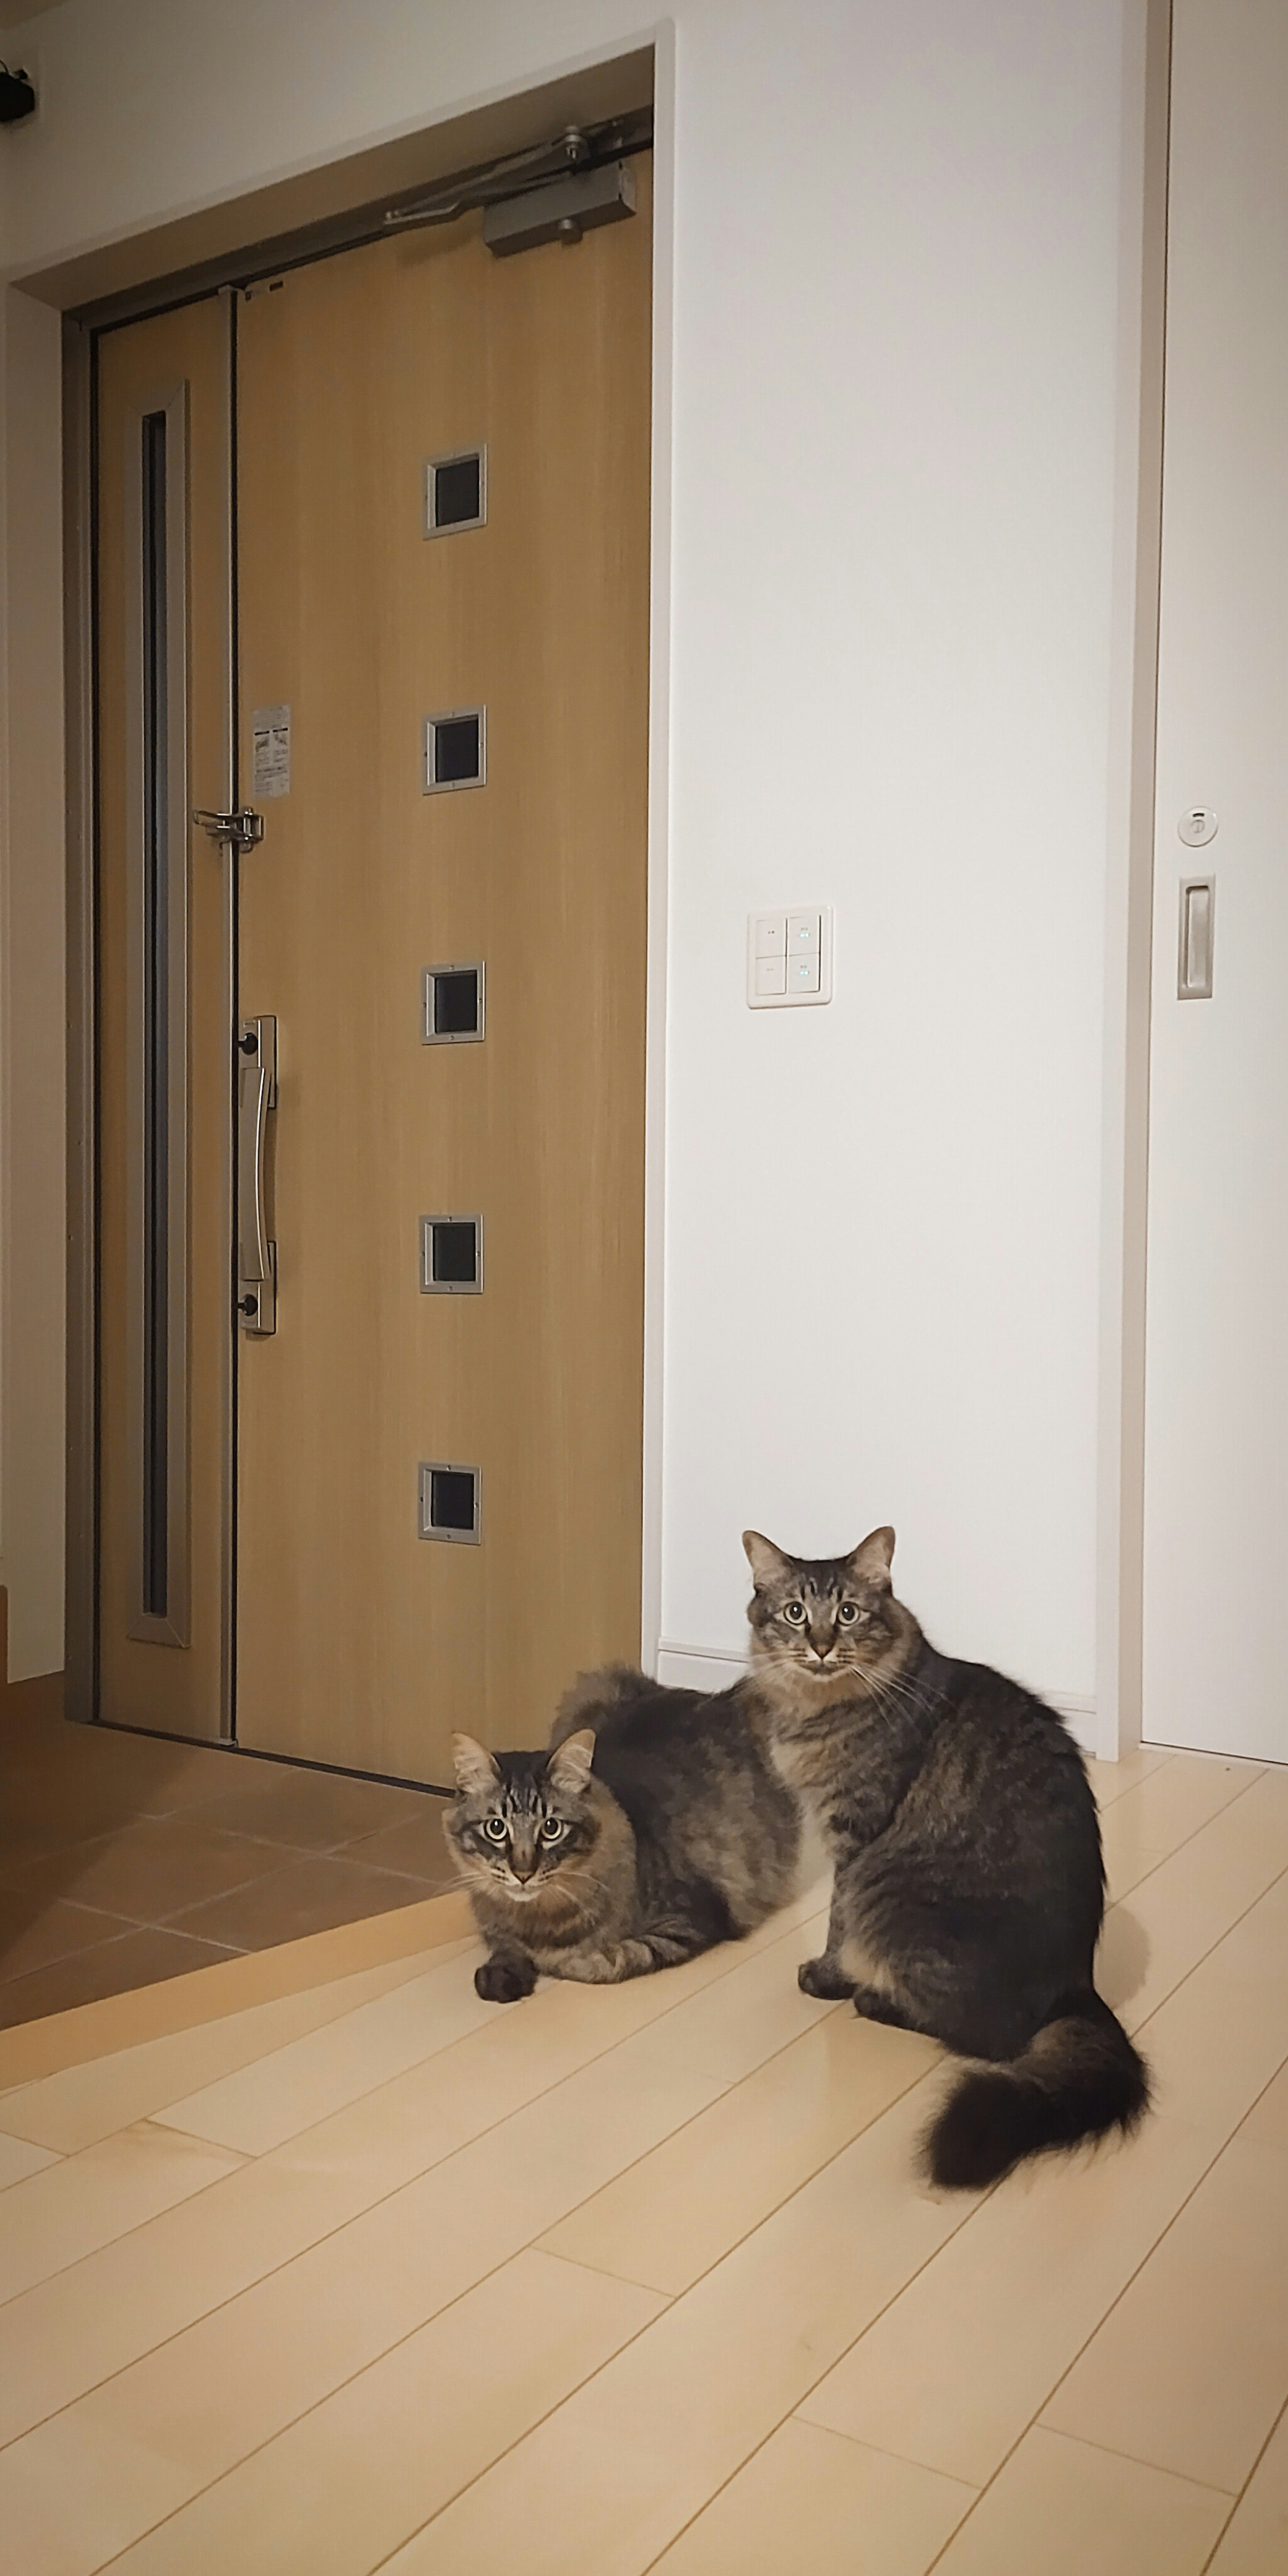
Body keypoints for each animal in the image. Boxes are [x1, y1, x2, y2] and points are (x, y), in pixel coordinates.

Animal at [445, 1659, 804, 1999]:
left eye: (551, 1828)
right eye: (496, 1828)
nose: (523, 1873)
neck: (536, 1919)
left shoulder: (689, 1921)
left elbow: (611, 1960)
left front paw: (556, 1962)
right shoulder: (497, 1928)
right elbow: (503, 1946)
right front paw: (501, 1974)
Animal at [742, 1525, 1154, 2195]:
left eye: (848, 1614)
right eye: (795, 1613)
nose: (822, 1646)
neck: (815, 1709)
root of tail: (1076, 1986)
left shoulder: (854, 1839)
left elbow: (837, 1926)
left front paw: (826, 1978)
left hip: (893, 1897)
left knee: (985, 2036)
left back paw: (873, 1999)